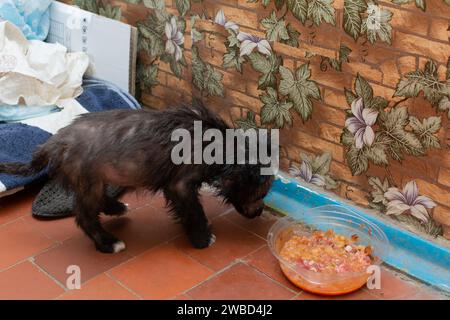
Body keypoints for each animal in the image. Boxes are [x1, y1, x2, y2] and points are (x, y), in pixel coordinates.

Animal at [0, 102, 272, 252]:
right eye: (260, 192)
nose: (259, 212)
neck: (219, 145)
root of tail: (56, 141)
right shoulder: (180, 185)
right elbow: (193, 211)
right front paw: (202, 238)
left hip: (97, 179)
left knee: (98, 202)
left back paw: (118, 207)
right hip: (89, 181)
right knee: (85, 217)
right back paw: (108, 243)